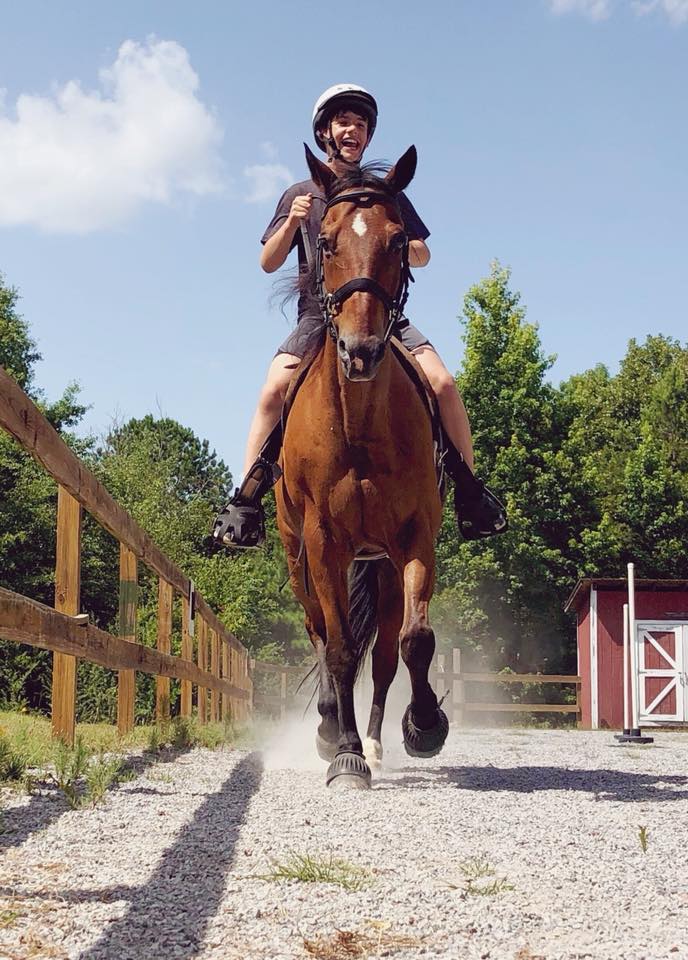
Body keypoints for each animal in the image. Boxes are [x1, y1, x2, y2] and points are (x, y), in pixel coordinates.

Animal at [274, 142, 452, 788]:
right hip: (298, 556)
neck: (358, 427)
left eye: (399, 241)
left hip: (379, 564)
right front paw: (344, 753)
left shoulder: (415, 535)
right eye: (324, 242)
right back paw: (332, 727)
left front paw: (423, 727)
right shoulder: (323, 542)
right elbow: (339, 648)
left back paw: (377, 740)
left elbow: (414, 641)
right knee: (321, 632)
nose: (362, 351)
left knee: (385, 654)